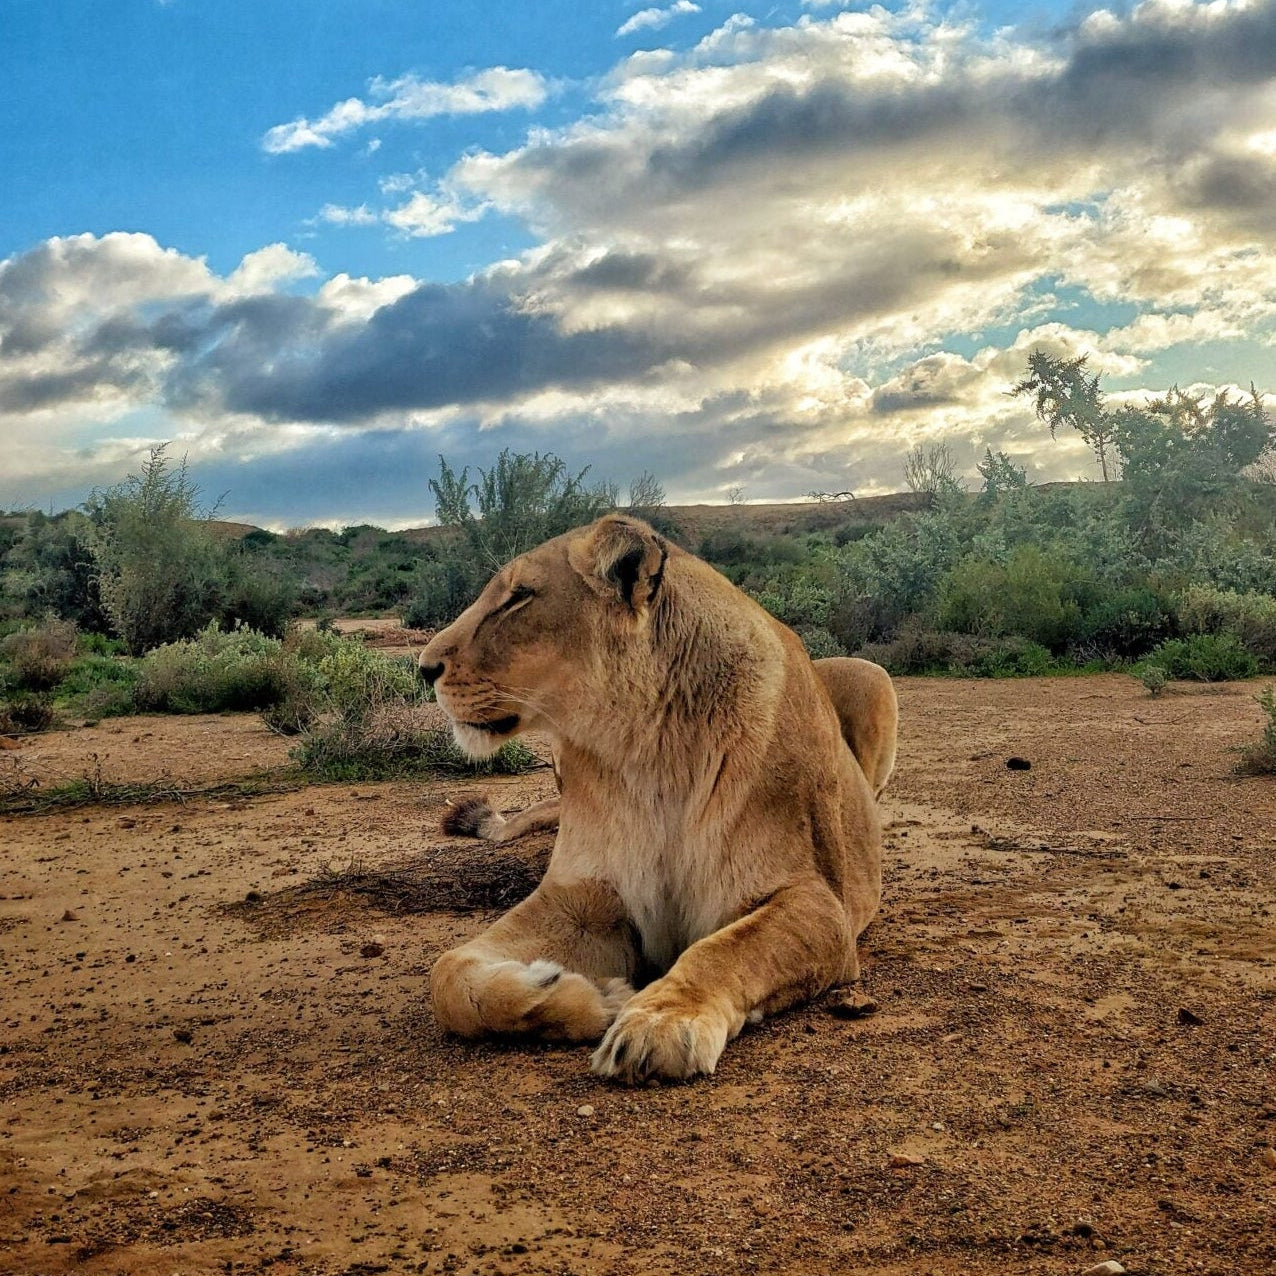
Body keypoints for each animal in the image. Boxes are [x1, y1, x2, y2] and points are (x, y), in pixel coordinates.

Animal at [417, 514, 895, 1083]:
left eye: (519, 597)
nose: (423, 667)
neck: (647, 751)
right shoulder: (584, 900)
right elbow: (448, 974)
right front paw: (589, 996)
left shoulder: (819, 904)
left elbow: (726, 951)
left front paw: (661, 1023)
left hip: (871, 674)